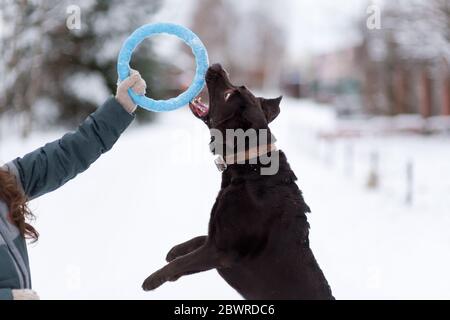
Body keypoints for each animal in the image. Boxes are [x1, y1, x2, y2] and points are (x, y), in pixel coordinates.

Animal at [142, 63, 334, 300]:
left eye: (228, 94)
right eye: (237, 87)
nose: (217, 66)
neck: (251, 168)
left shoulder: (221, 251)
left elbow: (182, 263)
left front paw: (152, 280)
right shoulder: (215, 238)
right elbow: (196, 241)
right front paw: (175, 250)